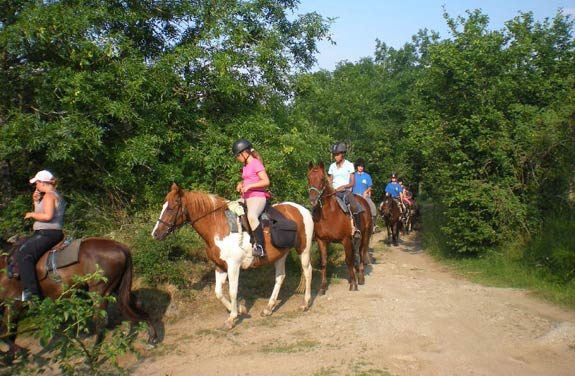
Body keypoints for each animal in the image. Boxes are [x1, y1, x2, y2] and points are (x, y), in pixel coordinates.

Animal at [0, 236, 159, 354]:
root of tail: (120, 246)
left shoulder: (13, 304)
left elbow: (6, 333)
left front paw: (17, 352)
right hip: (118, 287)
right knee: (137, 304)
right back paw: (152, 337)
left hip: (100, 291)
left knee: (101, 322)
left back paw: (93, 357)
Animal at [152, 184, 316, 328]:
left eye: (171, 207)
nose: (155, 234)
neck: (218, 227)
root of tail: (302, 210)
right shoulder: (220, 266)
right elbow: (218, 292)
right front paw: (239, 309)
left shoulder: (233, 266)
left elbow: (232, 291)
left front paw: (232, 318)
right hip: (281, 254)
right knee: (280, 277)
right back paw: (269, 308)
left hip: (303, 250)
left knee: (308, 271)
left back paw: (305, 303)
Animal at [306, 162, 374, 294]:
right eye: (308, 178)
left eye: (322, 179)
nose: (313, 200)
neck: (330, 214)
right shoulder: (321, 241)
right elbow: (323, 262)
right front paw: (322, 287)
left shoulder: (345, 240)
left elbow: (348, 260)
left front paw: (353, 284)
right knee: (356, 254)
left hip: (364, 235)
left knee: (361, 253)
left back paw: (360, 278)